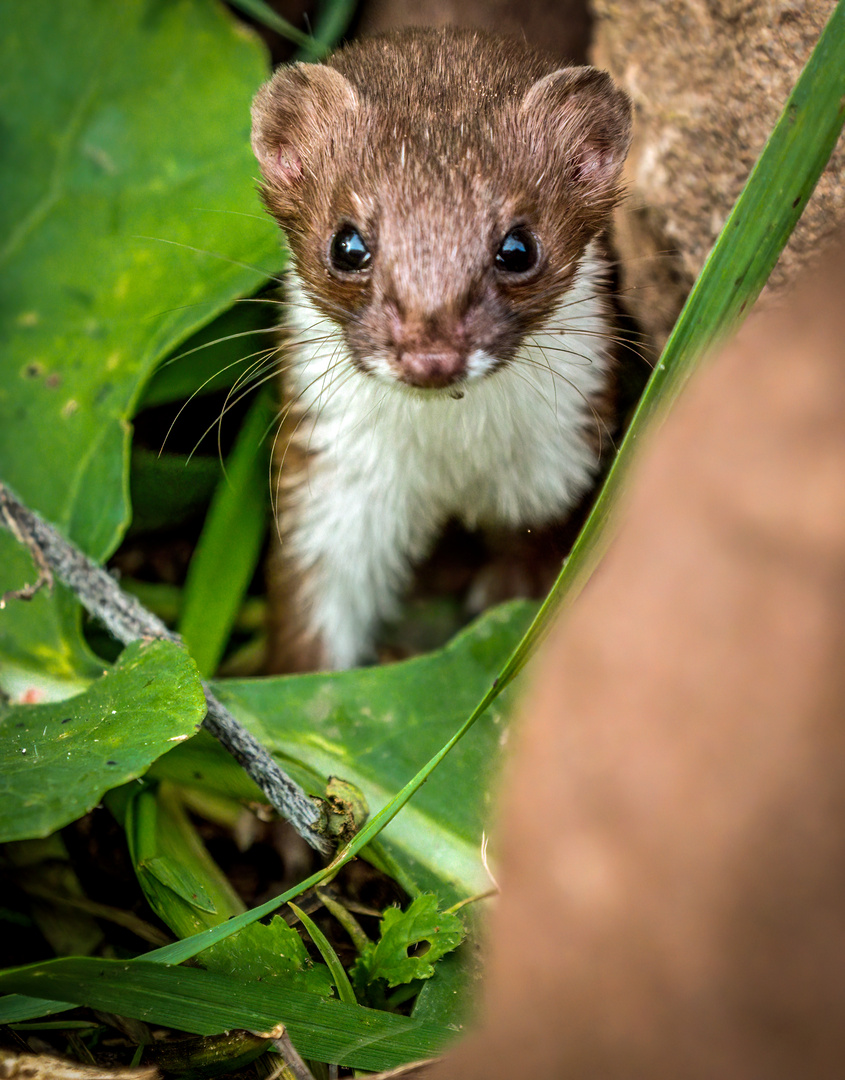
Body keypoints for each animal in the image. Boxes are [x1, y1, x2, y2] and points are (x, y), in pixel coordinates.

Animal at [251, 29, 635, 669]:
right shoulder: (330, 485)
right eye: (347, 244)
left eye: (518, 247)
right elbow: (315, 609)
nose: (431, 356)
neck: (452, 462)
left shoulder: (558, 472)